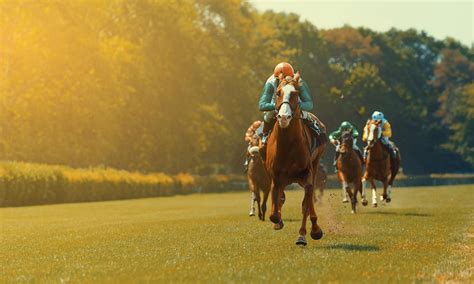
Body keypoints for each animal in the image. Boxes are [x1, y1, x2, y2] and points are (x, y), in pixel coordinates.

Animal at [264, 74, 328, 246]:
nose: (284, 117)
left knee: (310, 195)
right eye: (278, 92)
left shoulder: (306, 173)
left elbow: (305, 203)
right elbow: (274, 212)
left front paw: (304, 235)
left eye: (295, 93)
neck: (287, 144)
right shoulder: (276, 177)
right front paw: (277, 221)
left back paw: (315, 229)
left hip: (315, 164)